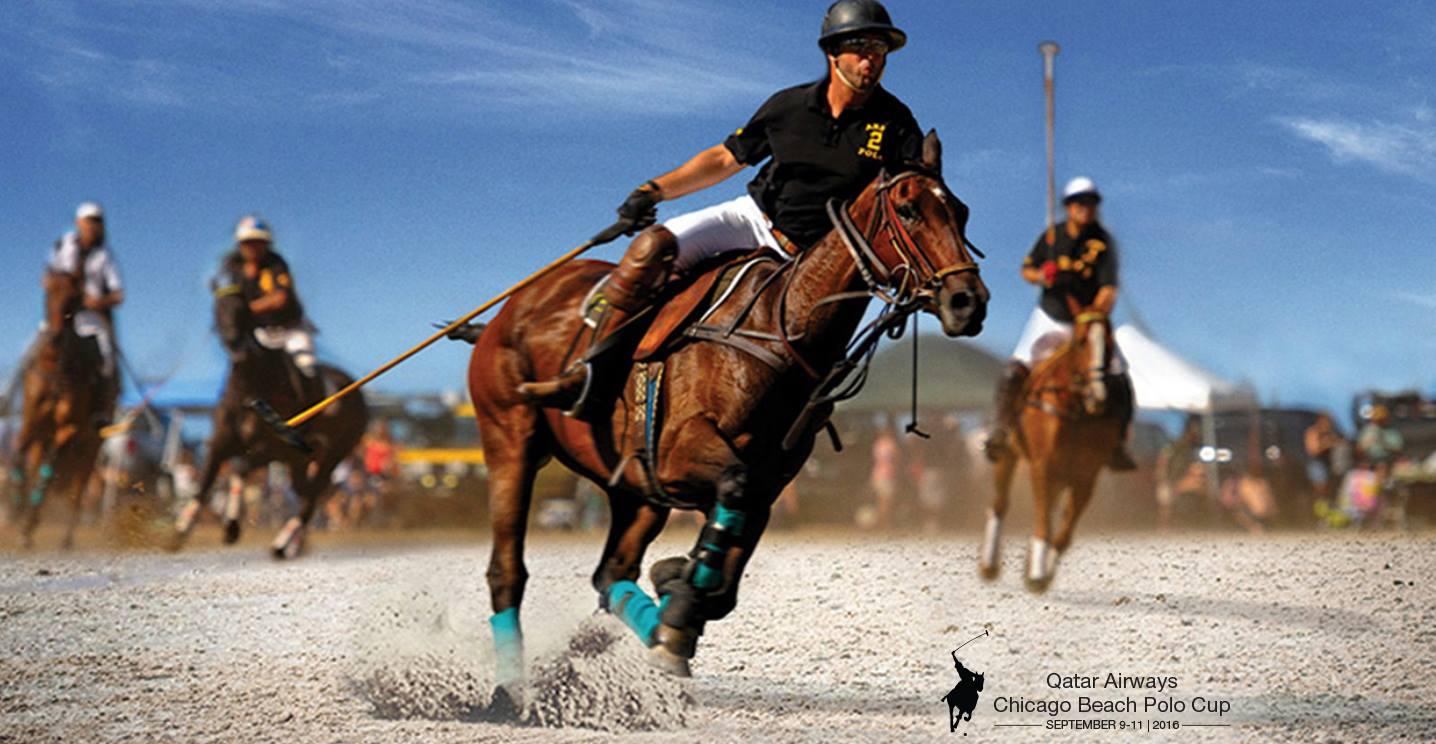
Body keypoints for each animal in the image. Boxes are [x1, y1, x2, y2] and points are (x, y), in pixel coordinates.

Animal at [9, 271, 104, 551]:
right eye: (47, 293)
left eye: (74, 298)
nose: (55, 337)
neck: (54, 367)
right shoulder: (31, 421)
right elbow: (17, 454)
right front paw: (18, 505)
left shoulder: (69, 428)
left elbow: (49, 469)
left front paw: (29, 521)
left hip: (89, 450)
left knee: (79, 489)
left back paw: (65, 537)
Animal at [165, 262, 367, 560]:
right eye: (217, 307)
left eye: (242, 308)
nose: (233, 340)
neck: (249, 387)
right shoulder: (221, 443)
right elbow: (204, 482)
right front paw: (180, 531)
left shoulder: (274, 449)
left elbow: (239, 466)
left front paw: (232, 526)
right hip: (301, 461)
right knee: (307, 492)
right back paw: (294, 542)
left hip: (334, 453)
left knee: (312, 494)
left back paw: (284, 544)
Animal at [471, 129, 987, 700]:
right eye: (909, 209)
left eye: (961, 212)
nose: (968, 302)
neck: (781, 325)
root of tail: (506, 313)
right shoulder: (683, 455)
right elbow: (730, 498)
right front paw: (678, 603)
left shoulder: (767, 483)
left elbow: (723, 582)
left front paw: (675, 595)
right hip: (510, 440)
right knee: (507, 570)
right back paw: (508, 690)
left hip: (634, 489)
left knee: (610, 573)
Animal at [982, 300, 1125, 591]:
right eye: (1080, 342)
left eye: (1109, 342)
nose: (1098, 397)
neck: (1077, 407)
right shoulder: (1042, 465)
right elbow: (1044, 519)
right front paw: (1037, 572)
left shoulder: (1086, 475)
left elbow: (1065, 530)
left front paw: (1041, 572)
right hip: (1009, 454)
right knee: (1000, 504)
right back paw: (989, 566)